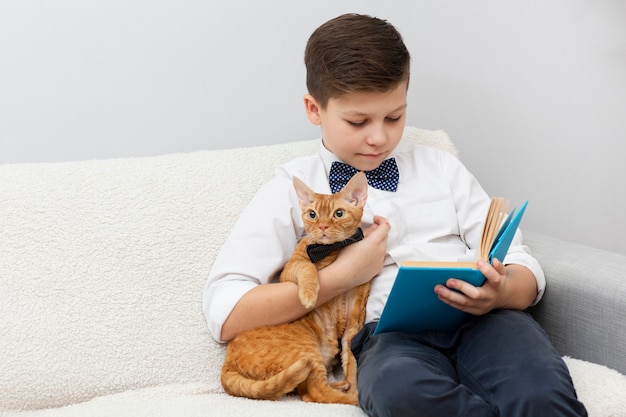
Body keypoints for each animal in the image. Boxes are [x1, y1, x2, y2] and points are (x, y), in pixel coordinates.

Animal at [219, 172, 368, 404]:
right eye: (312, 214)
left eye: (339, 213)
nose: (322, 227)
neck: (334, 250)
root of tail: (227, 363)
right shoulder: (291, 269)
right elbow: (309, 268)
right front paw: (309, 295)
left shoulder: (354, 322)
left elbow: (351, 362)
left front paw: (353, 386)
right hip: (305, 349)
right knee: (314, 391)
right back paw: (353, 398)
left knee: (309, 390)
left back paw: (344, 387)